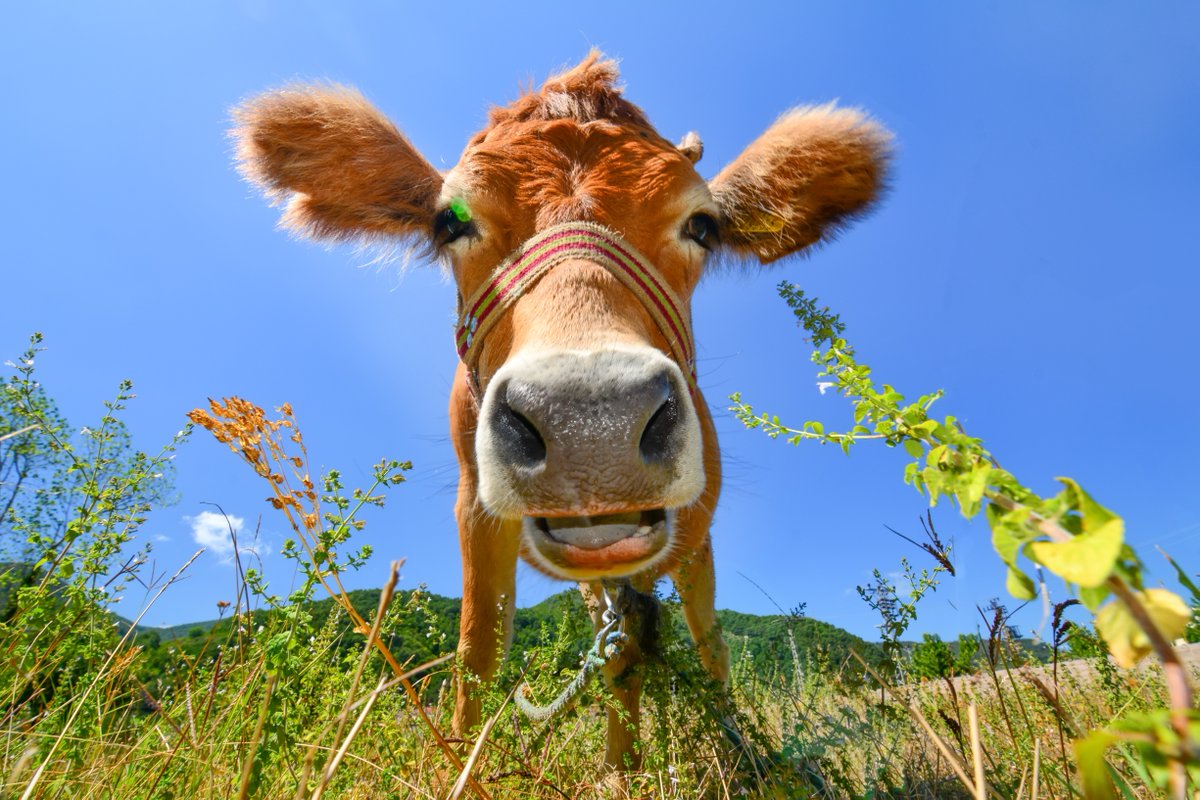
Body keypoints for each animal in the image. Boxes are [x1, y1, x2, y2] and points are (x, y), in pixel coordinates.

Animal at [231, 51, 890, 769]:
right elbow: (480, 648)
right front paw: (469, 763)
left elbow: (673, 641)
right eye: (450, 222)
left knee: (704, 638)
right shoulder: (477, 508)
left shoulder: (688, 526)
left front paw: (633, 768)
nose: (590, 422)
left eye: (703, 226)